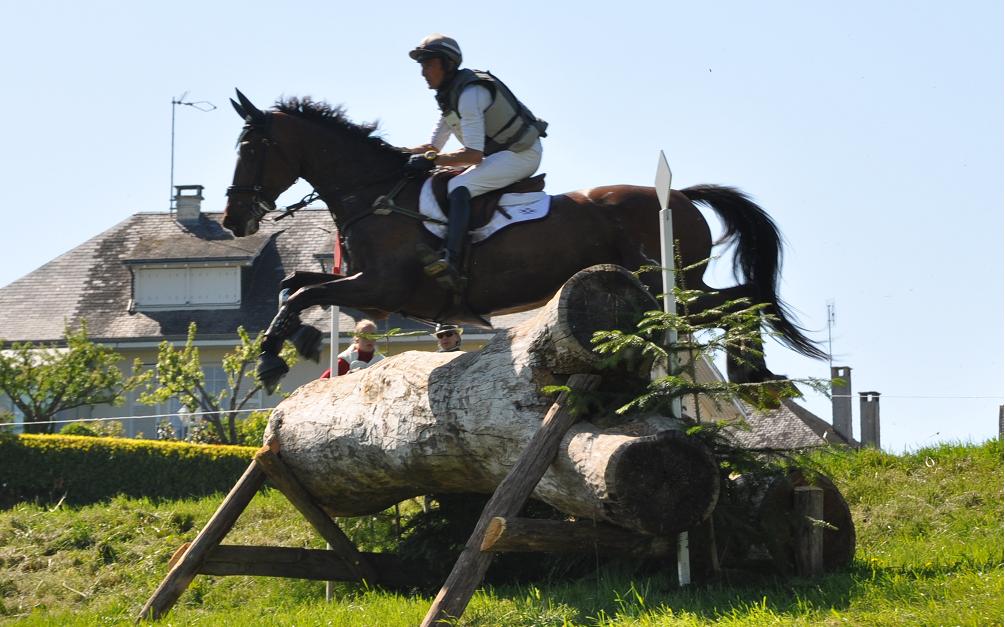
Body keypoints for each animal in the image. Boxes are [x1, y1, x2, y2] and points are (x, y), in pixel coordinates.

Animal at [222, 89, 824, 389]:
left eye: (250, 148)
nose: (233, 219)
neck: (376, 194)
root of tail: (678, 195)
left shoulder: (385, 287)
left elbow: (303, 291)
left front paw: (272, 361)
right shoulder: (370, 291)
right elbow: (296, 285)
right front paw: (297, 343)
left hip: (671, 288)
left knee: (743, 299)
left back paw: (755, 374)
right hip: (671, 288)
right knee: (740, 300)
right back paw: (756, 374)